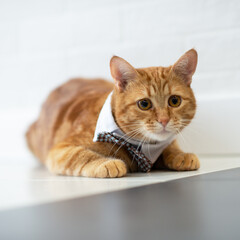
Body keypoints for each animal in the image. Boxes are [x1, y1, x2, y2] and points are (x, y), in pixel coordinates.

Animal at [25, 48, 201, 177]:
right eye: (144, 104)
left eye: (174, 101)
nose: (164, 120)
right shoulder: (60, 150)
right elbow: (81, 155)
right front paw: (107, 163)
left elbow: (170, 146)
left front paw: (181, 154)